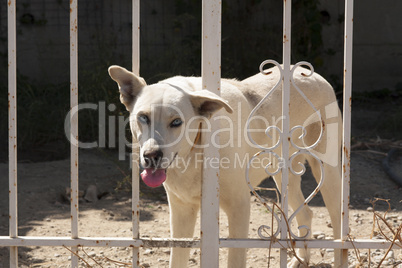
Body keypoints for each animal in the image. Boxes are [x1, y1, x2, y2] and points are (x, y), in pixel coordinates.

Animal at [108, 65, 340, 268]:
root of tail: (309, 73)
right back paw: (301, 259)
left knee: (338, 226)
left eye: (176, 122)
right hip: (283, 175)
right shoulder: (181, 210)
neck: (196, 152)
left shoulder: (239, 206)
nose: (151, 156)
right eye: (143, 117)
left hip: (326, 172)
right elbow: (177, 259)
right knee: (305, 213)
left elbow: (235, 258)